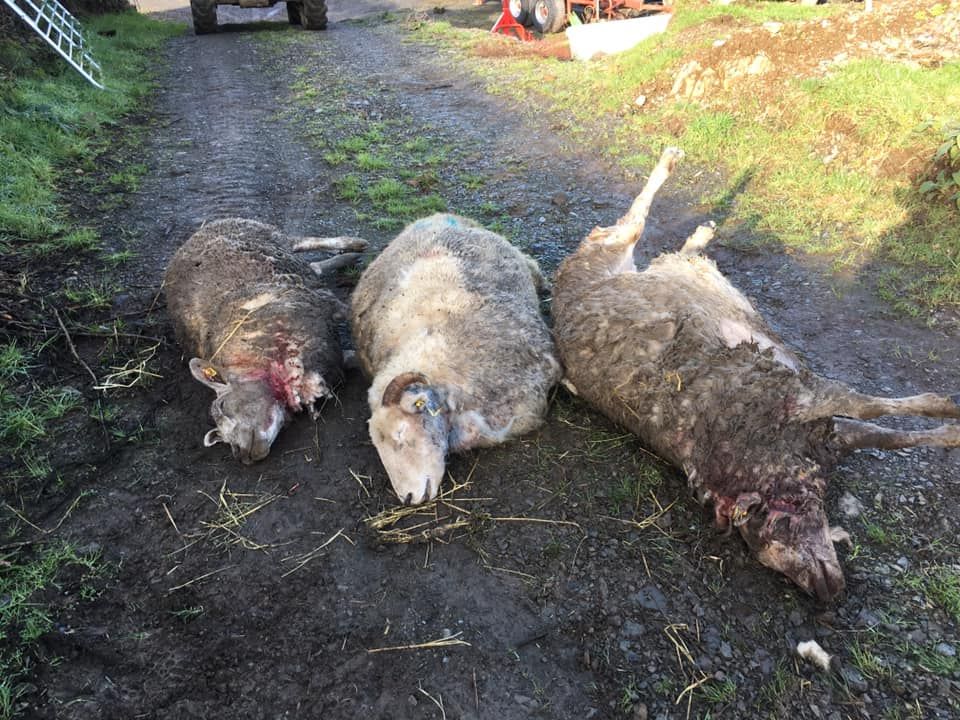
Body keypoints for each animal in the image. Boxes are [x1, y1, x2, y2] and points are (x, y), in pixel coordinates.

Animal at [164, 218, 365, 463]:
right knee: (314, 267)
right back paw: (345, 258)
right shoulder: (335, 358)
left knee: (306, 241)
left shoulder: (326, 305)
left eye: (223, 405)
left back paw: (355, 245)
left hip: (270, 235)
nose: (240, 454)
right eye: (219, 438)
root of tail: (201, 231)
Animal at [551, 148, 960, 600]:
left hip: (610, 251)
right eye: (761, 547)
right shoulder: (820, 422)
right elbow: (880, 426)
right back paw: (696, 223)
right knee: (659, 244)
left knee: (638, 222)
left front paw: (947, 414)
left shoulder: (800, 396)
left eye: (783, 520)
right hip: (613, 254)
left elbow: (873, 414)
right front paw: (951, 428)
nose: (824, 593)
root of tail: (560, 287)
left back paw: (677, 174)